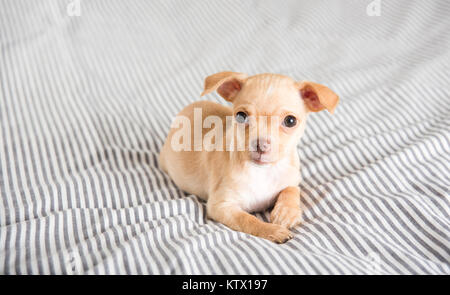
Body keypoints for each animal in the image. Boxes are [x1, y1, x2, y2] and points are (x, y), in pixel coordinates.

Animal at [158, 71, 338, 243]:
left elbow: (292, 190)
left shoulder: (292, 179)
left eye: (290, 121)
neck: (263, 171)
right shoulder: (221, 206)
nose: (261, 145)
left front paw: (286, 212)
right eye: (240, 116)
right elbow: (247, 219)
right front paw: (272, 230)